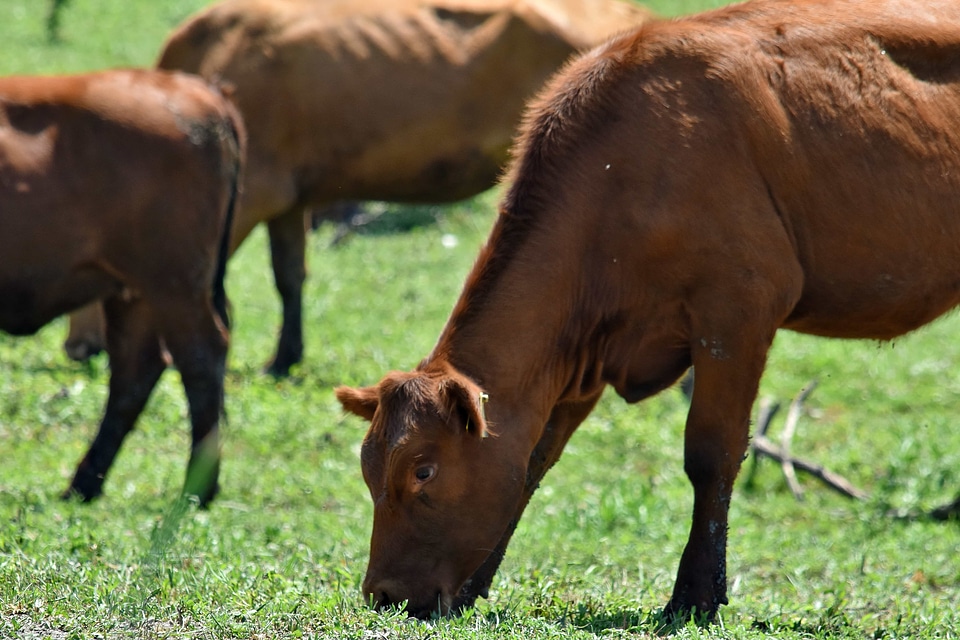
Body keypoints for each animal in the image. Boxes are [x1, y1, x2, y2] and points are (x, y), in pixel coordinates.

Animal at [0, 69, 244, 504]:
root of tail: (198, 90)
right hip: (132, 292)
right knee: (136, 371)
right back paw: (84, 484)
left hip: (172, 285)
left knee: (199, 358)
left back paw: (198, 489)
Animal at [336, 0, 960, 620]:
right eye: (368, 469)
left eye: (423, 470)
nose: (383, 594)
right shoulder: (580, 358)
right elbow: (534, 458)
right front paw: (474, 587)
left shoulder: (738, 311)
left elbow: (712, 453)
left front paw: (696, 596)